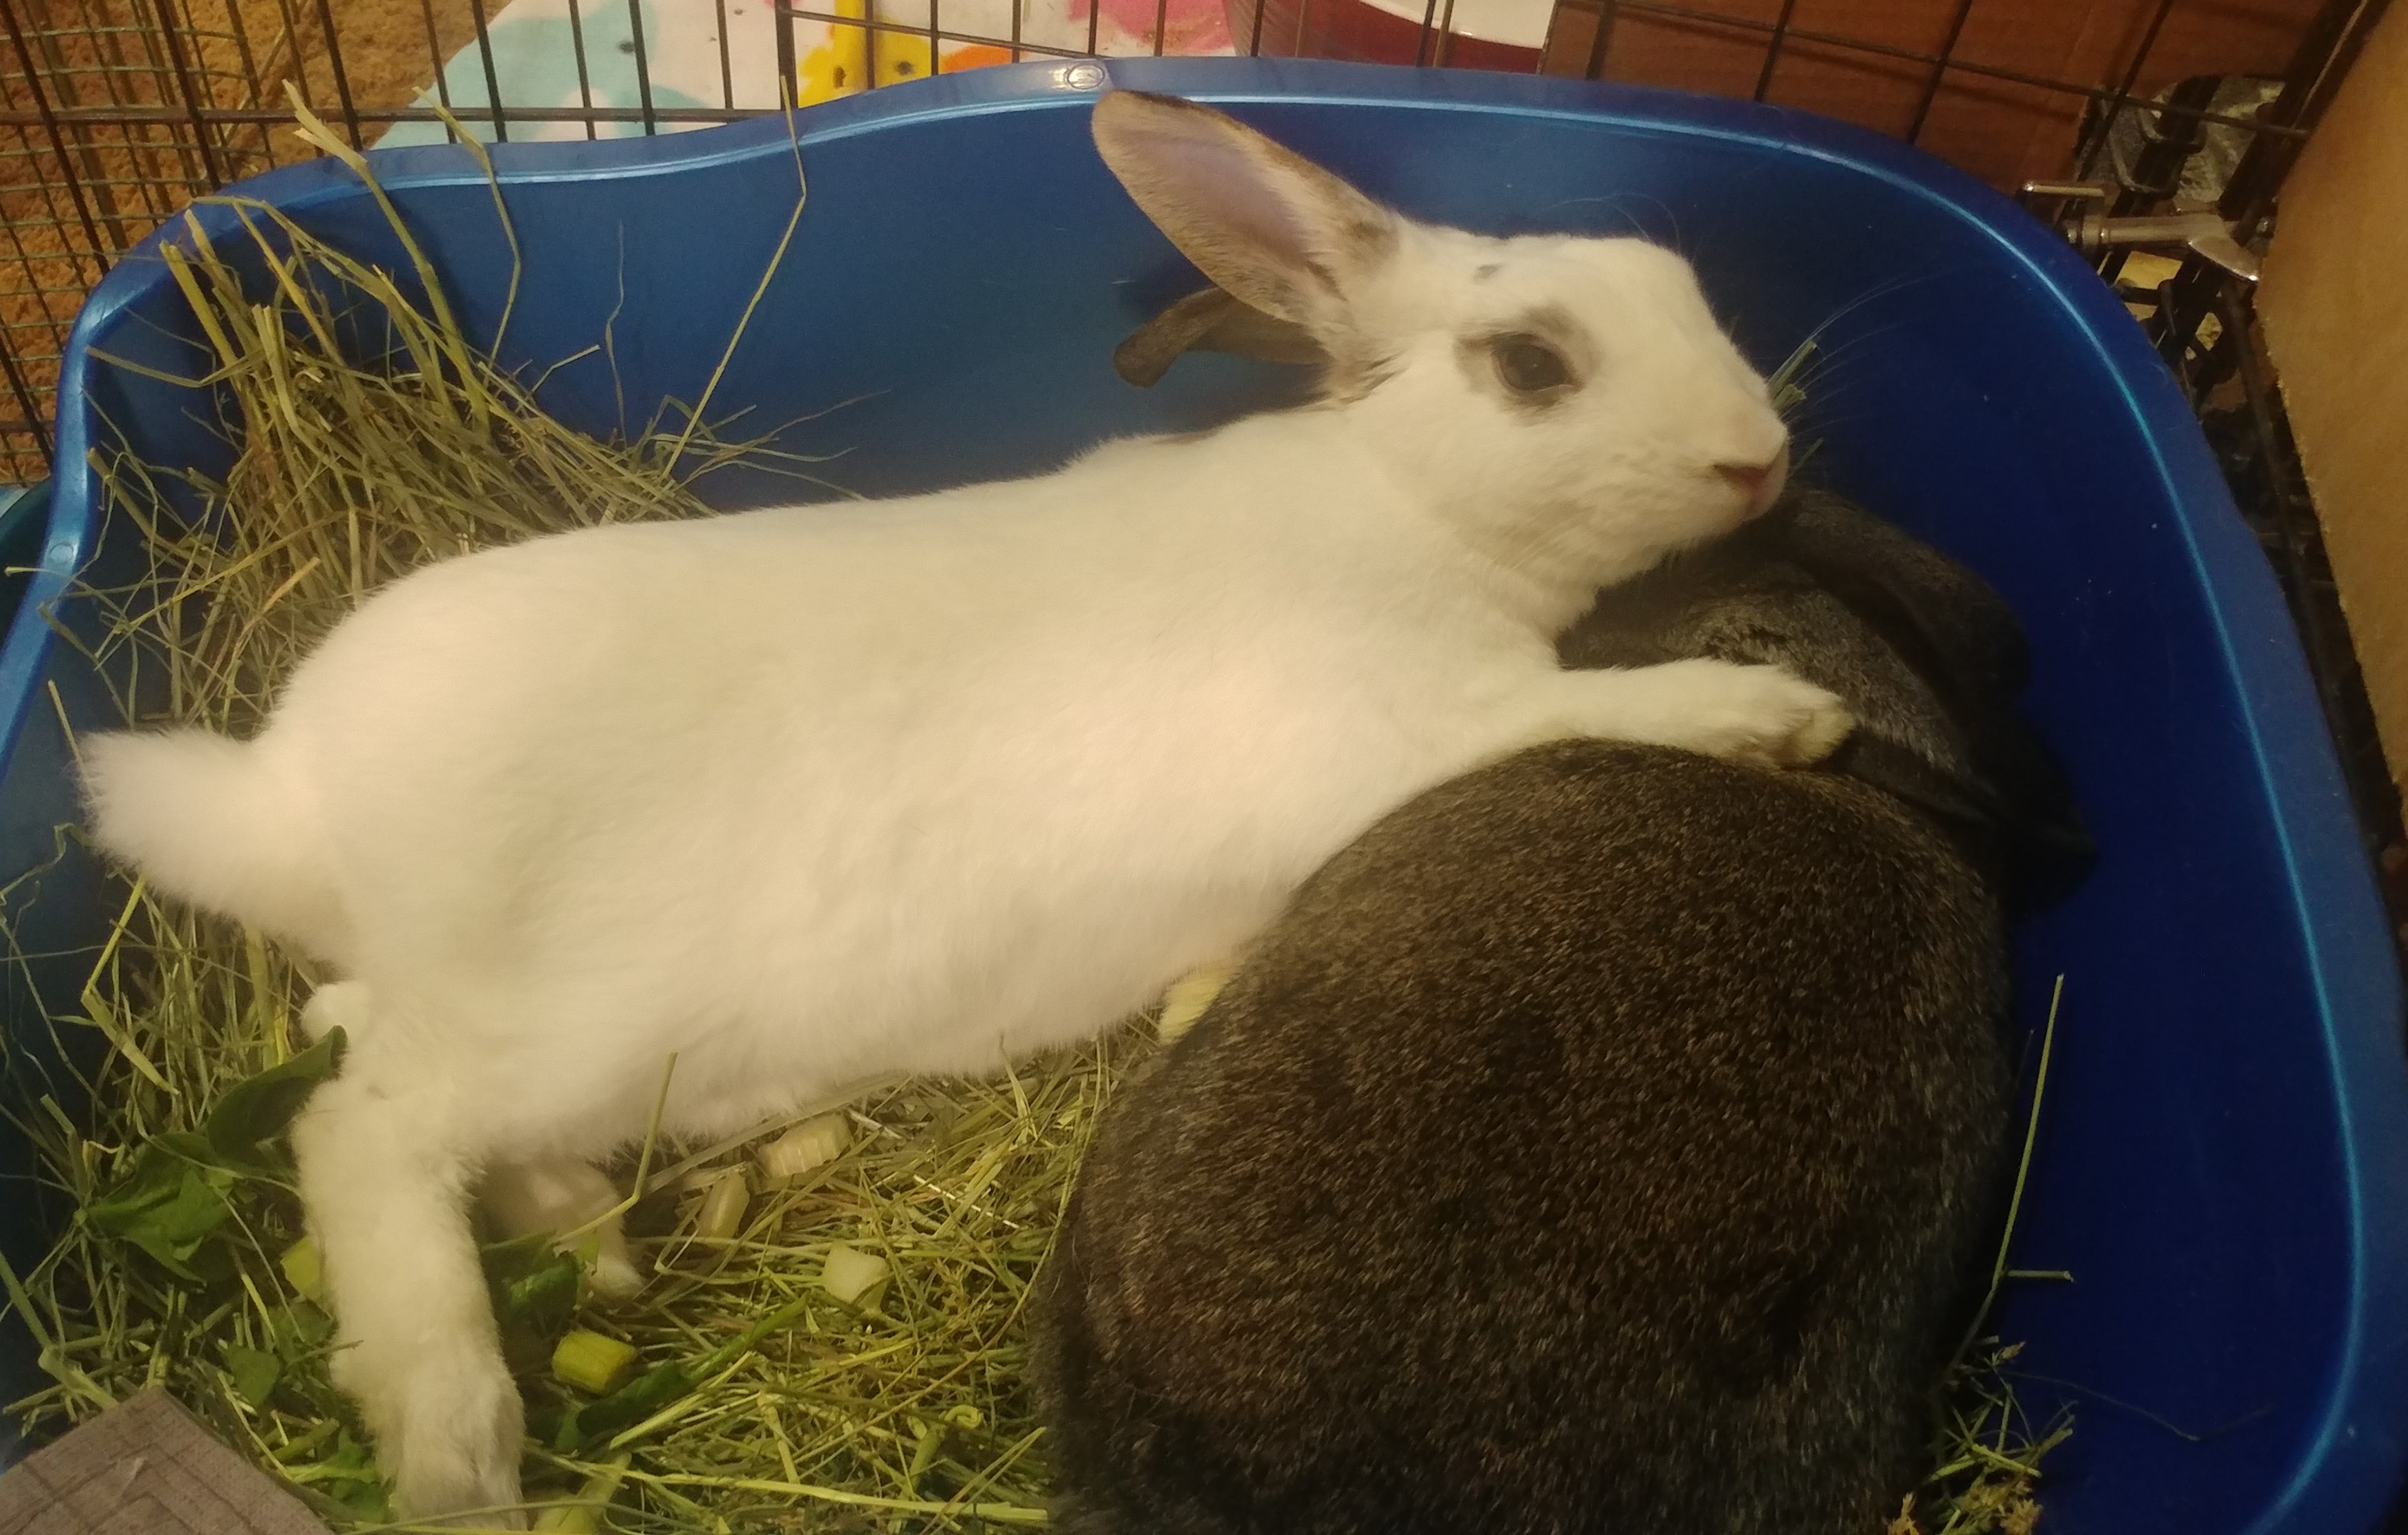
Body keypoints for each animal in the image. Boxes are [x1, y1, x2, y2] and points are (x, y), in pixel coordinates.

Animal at [78, 90, 1850, 1523]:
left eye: (1681, 291)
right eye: (1532, 364)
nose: (1759, 459)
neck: (1400, 501)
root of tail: (287, 794)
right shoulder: (1434, 719)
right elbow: (1603, 709)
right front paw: (1781, 721)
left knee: (354, 1044)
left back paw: (590, 1250)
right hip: (545, 1027)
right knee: (357, 1121)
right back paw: (456, 1438)